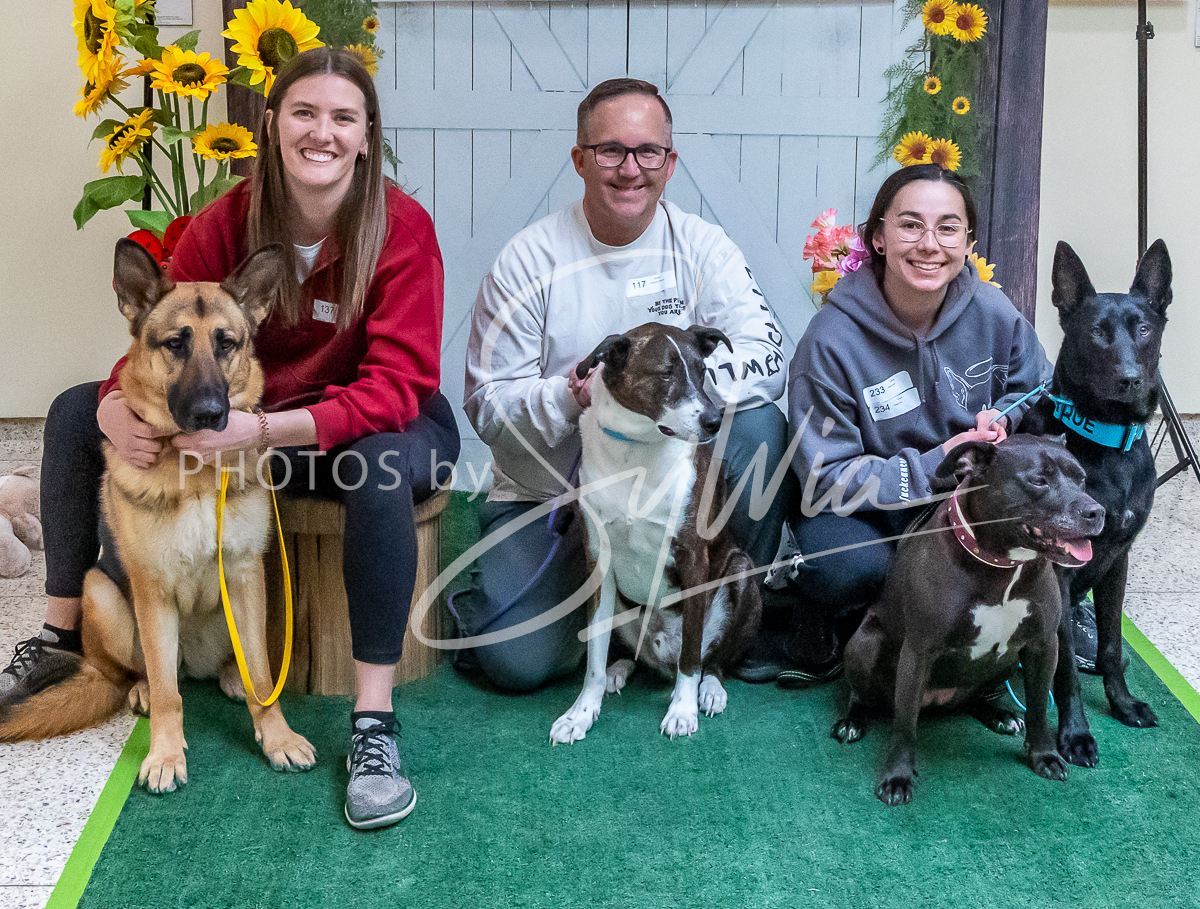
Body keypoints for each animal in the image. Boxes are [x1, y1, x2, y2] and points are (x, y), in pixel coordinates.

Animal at [0, 238, 316, 793]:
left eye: (226, 344)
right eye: (175, 344)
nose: (211, 414)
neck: (193, 472)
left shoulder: (244, 572)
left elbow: (262, 673)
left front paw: (276, 736)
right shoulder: (151, 589)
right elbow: (171, 696)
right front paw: (166, 754)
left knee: (238, 662)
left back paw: (231, 676)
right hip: (101, 592)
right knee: (145, 673)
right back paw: (142, 688)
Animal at [548, 323, 762, 743]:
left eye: (703, 371)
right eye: (665, 373)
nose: (714, 421)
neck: (636, 449)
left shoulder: (693, 560)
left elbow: (691, 658)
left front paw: (682, 710)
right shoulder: (598, 563)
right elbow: (593, 659)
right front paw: (581, 712)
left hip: (741, 573)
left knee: (711, 660)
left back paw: (710, 690)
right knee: (630, 656)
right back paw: (618, 670)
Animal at [832, 435, 1105, 805]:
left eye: (1083, 480)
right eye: (1038, 480)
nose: (1097, 512)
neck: (1003, 565)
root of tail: (939, 701)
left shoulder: (1043, 645)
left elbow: (1038, 707)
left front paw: (1044, 755)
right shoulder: (919, 652)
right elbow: (904, 724)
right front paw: (897, 777)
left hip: (1008, 661)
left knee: (978, 696)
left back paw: (999, 715)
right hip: (865, 643)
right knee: (864, 695)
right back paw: (853, 720)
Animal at [1020, 239, 1172, 768]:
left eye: (1143, 329)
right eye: (1096, 334)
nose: (1130, 379)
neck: (1108, 442)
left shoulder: (1117, 562)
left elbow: (1109, 645)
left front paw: (1122, 704)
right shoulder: (1060, 577)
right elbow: (1063, 666)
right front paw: (1075, 734)